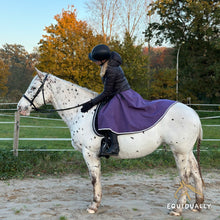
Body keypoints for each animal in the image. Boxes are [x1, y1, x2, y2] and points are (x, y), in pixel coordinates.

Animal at [17, 69, 205, 215]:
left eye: (33, 87)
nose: (20, 108)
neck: (82, 112)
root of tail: (194, 114)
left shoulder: (89, 153)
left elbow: (94, 179)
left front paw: (93, 206)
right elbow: (98, 178)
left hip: (179, 152)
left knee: (185, 176)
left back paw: (177, 209)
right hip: (186, 151)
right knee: (195, 172)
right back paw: (198, 204)